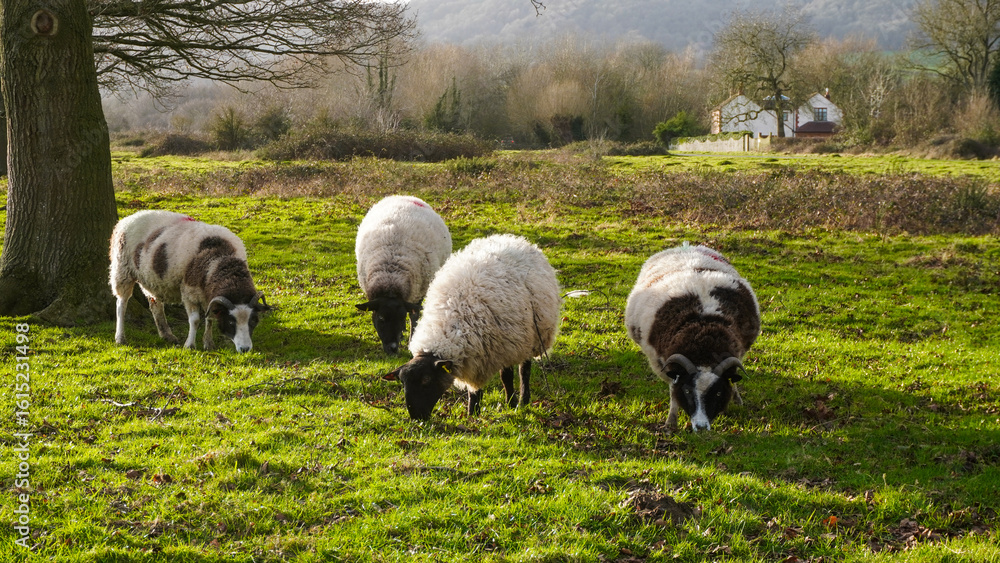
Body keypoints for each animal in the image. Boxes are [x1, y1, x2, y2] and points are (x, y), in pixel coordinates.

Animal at [110, 210, 270, 353]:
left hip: (151, 278)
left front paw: (208, 343)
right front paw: (190, 345)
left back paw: (167, 335)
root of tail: (126, 219)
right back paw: (120, 338)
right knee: (121, 304)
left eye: (253, 320)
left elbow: (209, 318)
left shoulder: (208, 296)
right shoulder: (189, 292)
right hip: (122, 270)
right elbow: (195, 320)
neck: (221, 259)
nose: (245, 349)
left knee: (155, 304)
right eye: (231, 321)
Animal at [355, 195, 452, 355]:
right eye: (381, 318)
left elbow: (414, 315)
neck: (390, 279)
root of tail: (404, 196)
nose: (393, 349)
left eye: (401, 318)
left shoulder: (419, 291)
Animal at [383, 234, 561, 420]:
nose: (417, 417)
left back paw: (522, 400)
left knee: (523, 371)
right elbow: (474, 390)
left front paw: (509, 405)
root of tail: (516, 240)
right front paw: (472, 414)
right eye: (402, 383)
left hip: (529, 336)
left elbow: (506, 377)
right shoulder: (477, 356)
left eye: (427, 380)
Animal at [625, 243, 760, 432]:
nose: (701, 427)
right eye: (688, 391)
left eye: (718, 392)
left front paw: (734, 400)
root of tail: (686, 245)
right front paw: (671, 422)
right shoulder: (664, 363)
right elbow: (673, 391)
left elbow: (732, 379)